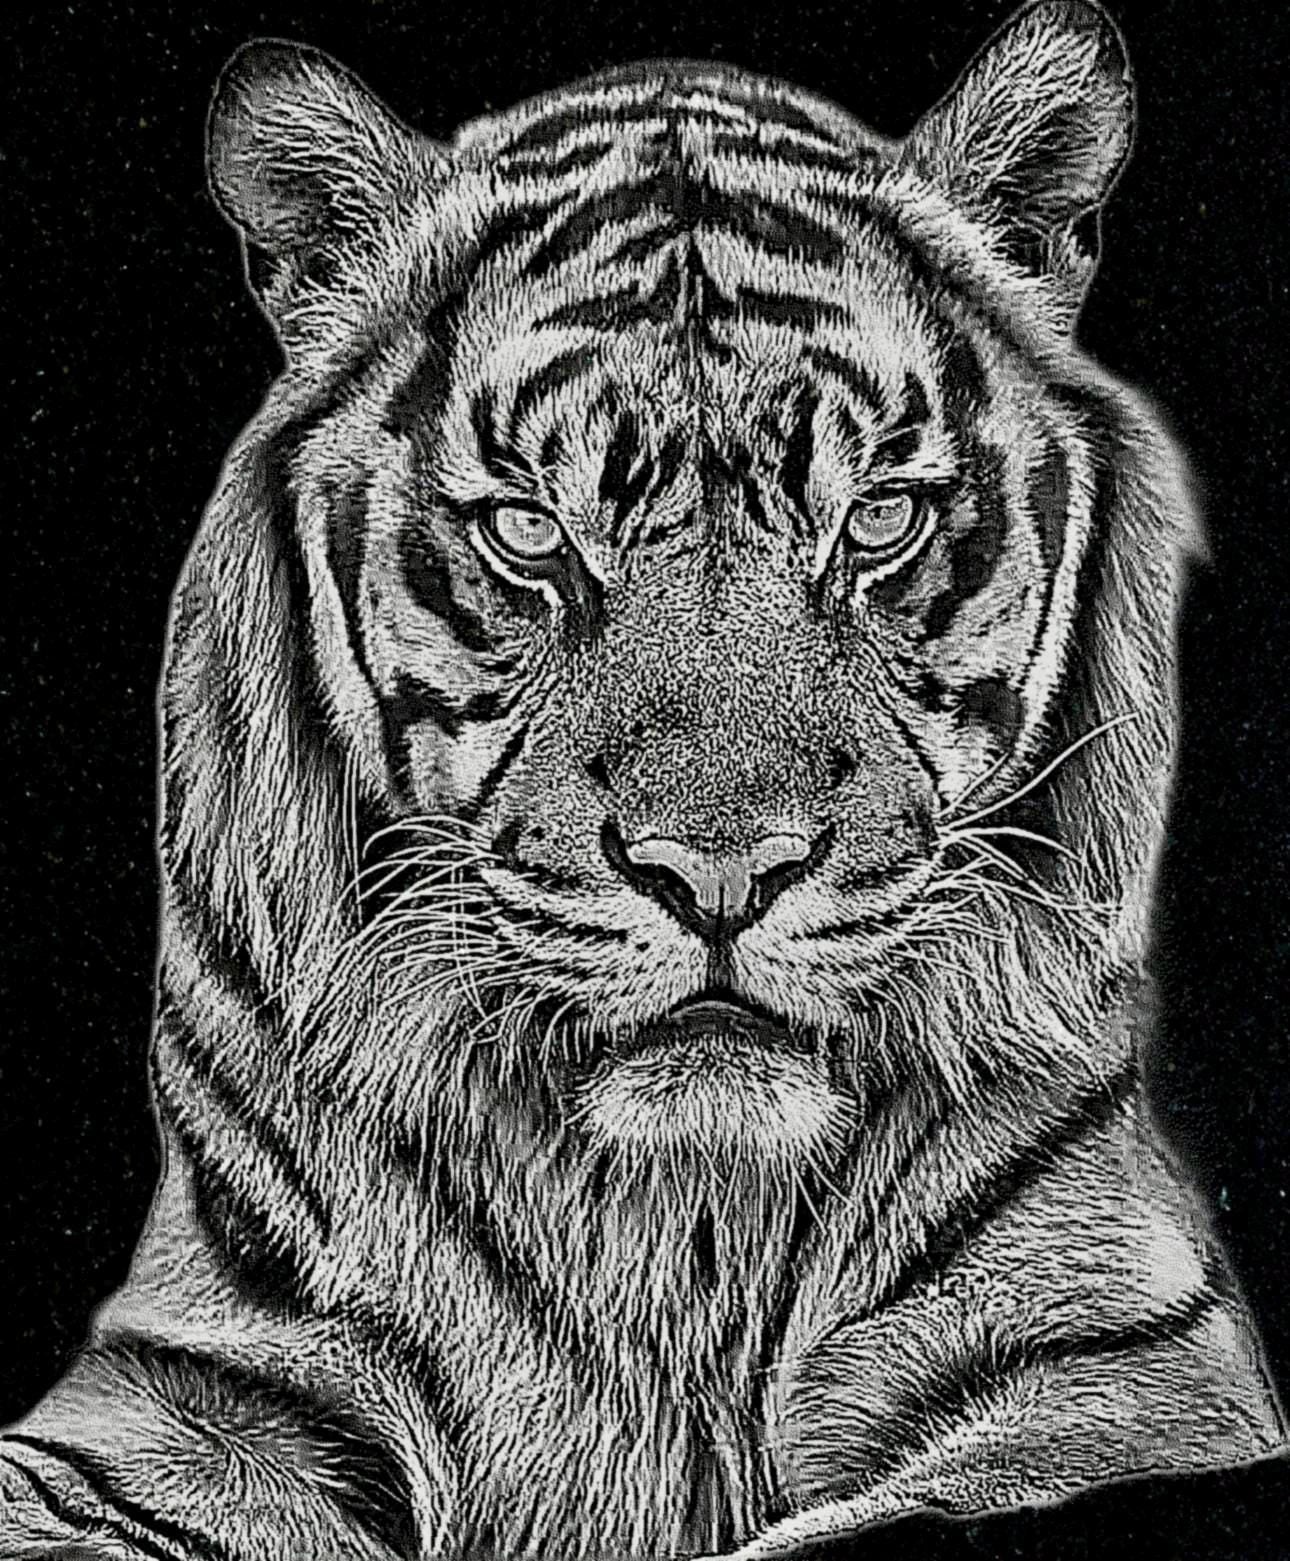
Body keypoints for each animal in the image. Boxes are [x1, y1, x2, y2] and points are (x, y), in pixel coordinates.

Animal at [2, 2, 1283, 1558]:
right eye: (528, 535)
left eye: (878, 520)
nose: (717, 873)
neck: (682, 1226)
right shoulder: (211, 1376)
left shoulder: (1123, 1365)